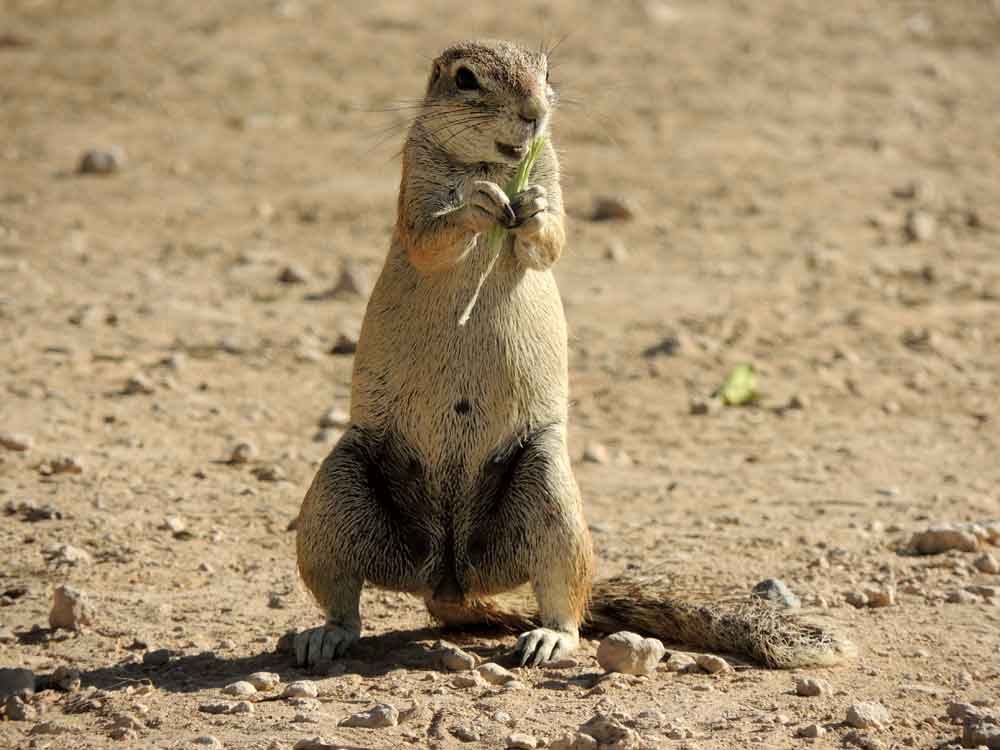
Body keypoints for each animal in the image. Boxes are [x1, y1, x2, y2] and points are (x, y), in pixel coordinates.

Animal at [292, 38, 856, 668]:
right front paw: (476, 205)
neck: (494, 166)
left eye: (546, 72)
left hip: (549, 495)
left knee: (567, 600)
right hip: (334, 499)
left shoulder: (554, 171)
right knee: (343, 600)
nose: (534, 113)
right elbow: (429, 235)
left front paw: (533, 207)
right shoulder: (415, 183)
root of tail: (449, 578)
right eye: (465, 79)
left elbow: (553, 239)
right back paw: (323, 636)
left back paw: (547, 638)